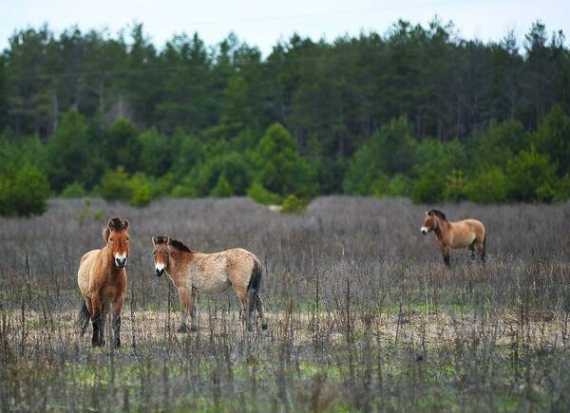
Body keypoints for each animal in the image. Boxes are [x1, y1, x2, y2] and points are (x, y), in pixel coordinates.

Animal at [77, 217, 130, 346]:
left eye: (127, 238)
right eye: (111, 238)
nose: (121, 261)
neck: (110, 274)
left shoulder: (119, 298)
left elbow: (116, 320)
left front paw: (117, 344)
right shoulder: (96, 297)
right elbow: (96, 319)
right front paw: (95, 343)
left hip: (105, 302)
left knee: (104, 318)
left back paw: (104, 341)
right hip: (89, 300)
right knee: (95, 318)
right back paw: (99, 342)